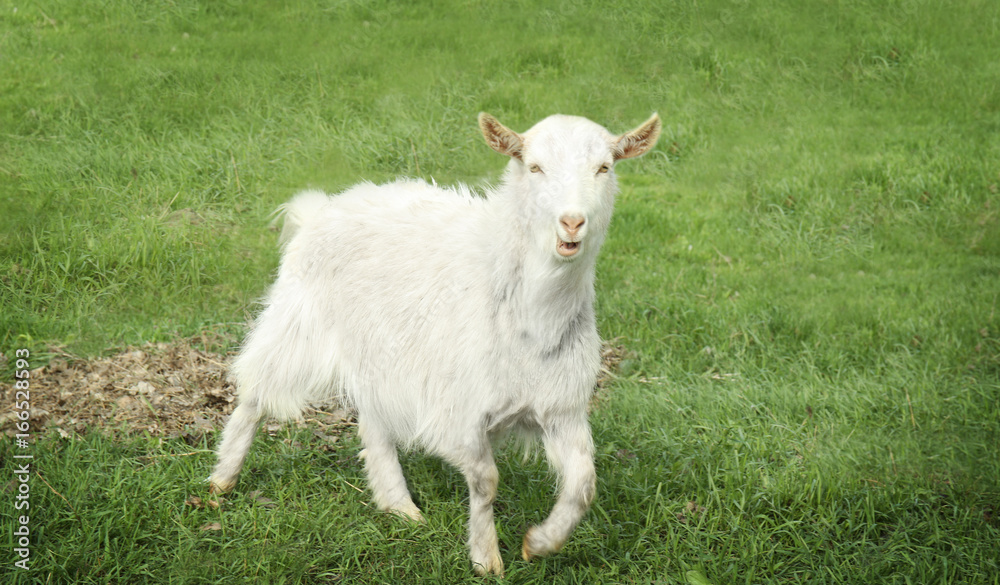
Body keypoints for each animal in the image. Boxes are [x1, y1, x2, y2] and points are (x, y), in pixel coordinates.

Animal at [209, 112, 661, 575]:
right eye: (534, 167)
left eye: (604, 168)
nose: (571, 223)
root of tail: (323, 206)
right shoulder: (457, 410)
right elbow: (486, 480)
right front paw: (486, 556)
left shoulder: (561, 408)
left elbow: (584, 485)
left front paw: (540, 543)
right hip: (297, 327)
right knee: (255, 391)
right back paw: (223, 478)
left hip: (379, 352)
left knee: (373, 423)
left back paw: (398, 505)